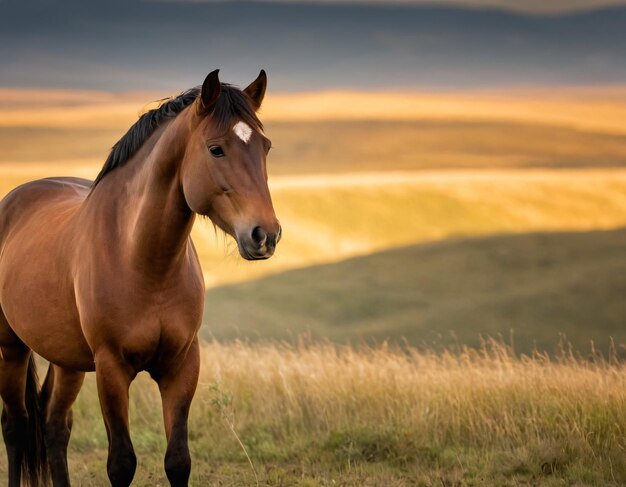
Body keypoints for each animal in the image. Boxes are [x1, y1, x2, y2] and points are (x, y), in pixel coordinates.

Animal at [0, 69, 280, 487]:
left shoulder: (182, 365)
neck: (143, 262)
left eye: (265, 147)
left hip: (66, 360)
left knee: (54, 426)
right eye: (216, 149)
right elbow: (121, 462)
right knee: (16, 427)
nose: (265, 235)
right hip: (11, 349)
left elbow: (178, 460)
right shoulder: (111, 369)